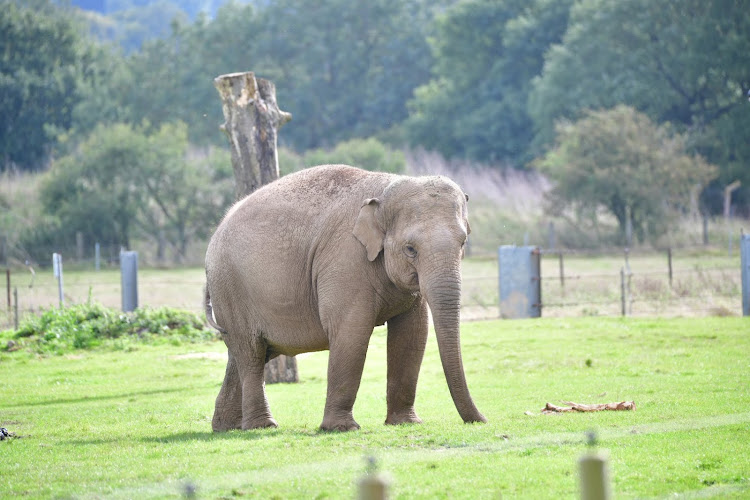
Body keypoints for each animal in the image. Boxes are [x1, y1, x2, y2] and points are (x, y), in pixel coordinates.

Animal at [206, 164, 488, 430]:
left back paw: (227, 427)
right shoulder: (345, 261)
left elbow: (412, 334)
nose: (482, 420)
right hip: (231, 290)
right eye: (410, 249)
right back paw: (262, 426)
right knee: (251, 353)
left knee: (246, 354)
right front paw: (342, 428)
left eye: (463, 243)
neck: (384, 189)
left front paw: (406, 423)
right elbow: (352, 332)